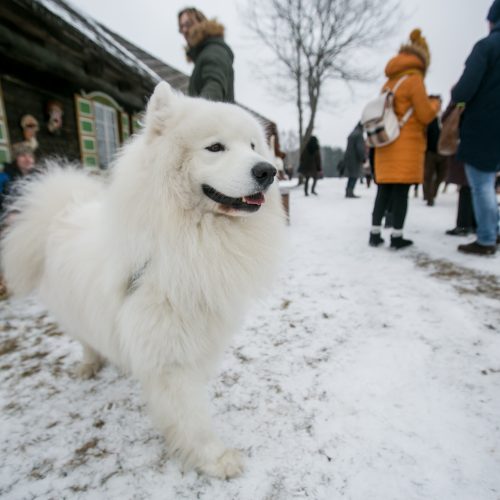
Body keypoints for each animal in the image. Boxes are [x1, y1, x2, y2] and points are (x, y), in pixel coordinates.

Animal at [0, 82, 286, 480]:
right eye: (215, 147)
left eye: (254, 146)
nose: (268, 171)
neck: (192, 239)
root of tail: (62, 210)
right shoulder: (170, 355)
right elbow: (191, 415)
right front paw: (215, 459)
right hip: (74, 313)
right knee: (87, 341)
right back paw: (89, 364)